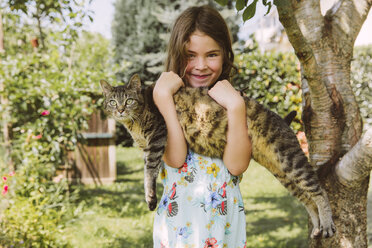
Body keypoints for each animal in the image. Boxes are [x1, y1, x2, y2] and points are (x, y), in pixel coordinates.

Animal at [100, 74, 336, 238]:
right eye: (112, 101)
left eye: (129, 100)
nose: (120, 110)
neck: (134, 123)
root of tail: (283, 121)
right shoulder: (148, 147)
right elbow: (149, 169)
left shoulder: (159, 135)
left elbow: (149, 171)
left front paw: (149, 195)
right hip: (283, 173)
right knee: (307, 198)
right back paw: (317, 225)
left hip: (291, 160)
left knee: (320, 191)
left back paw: (327, 225)